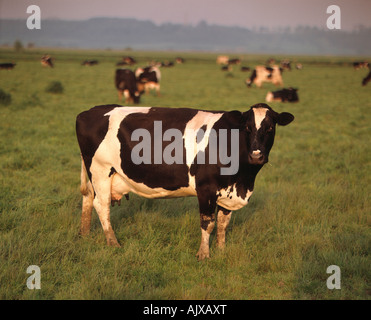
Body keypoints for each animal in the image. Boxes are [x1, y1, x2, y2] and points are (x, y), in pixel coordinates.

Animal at [75, 104, 294, 258]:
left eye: (270, 128)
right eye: (247, 128)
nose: (256, 155)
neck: (243, 179)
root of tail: (89, 111)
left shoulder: (228, 191)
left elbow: (223, 224)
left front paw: (221, 251)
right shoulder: (206, 188)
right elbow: (208, 222)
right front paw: (204, 254)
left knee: (88, 200)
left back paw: (85, 235)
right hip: (101, 170)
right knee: (101, 205)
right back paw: (113, 243)